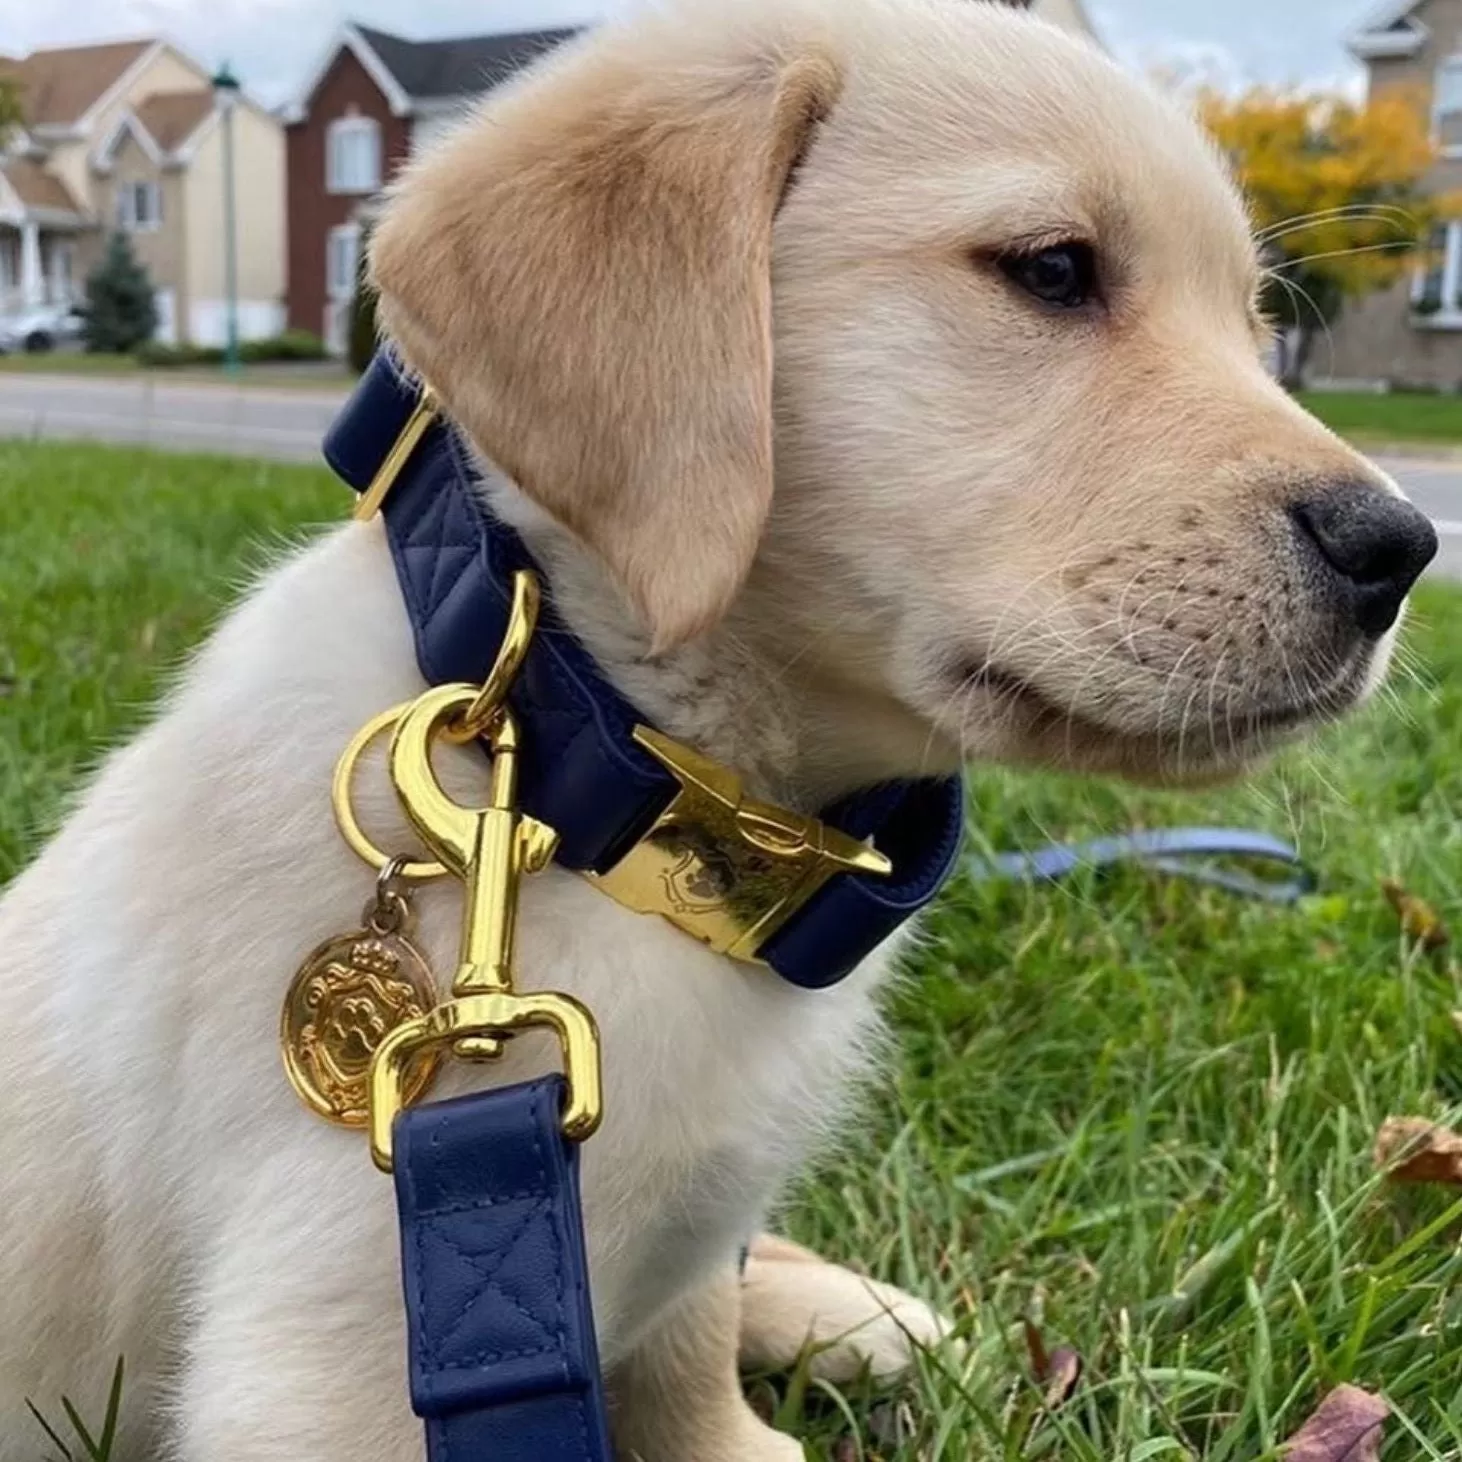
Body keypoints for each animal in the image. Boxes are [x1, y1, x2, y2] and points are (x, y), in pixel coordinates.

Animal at [0, 0, 1432, 1450]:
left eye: (1256, 321)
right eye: (1051, 270)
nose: (1404, 550)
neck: (601, 788)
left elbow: (689, 1350)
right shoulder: (328, 1345)